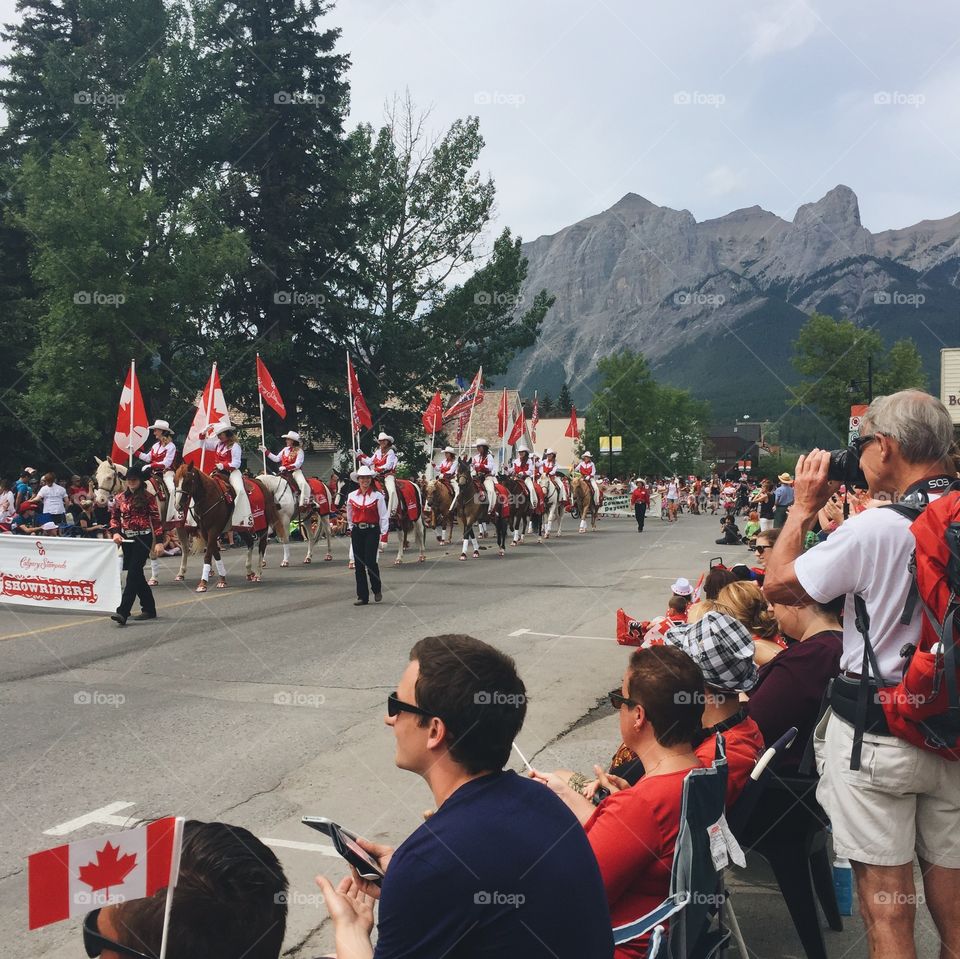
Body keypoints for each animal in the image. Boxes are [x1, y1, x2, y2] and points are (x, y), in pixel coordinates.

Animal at [174, 464, 278, 592]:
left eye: (187, 481)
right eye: (174, 481)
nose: (178, 506)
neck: (209, 497)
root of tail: (260, 482)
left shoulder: (214, 530)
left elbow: (208, 555)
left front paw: (203, 583)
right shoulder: (205, 531)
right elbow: (215, 553)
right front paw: (222, 579)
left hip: (262, 526)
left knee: (262, 546)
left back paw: (258, 573)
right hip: (241, 528)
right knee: (249, 542)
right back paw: (249, 571)